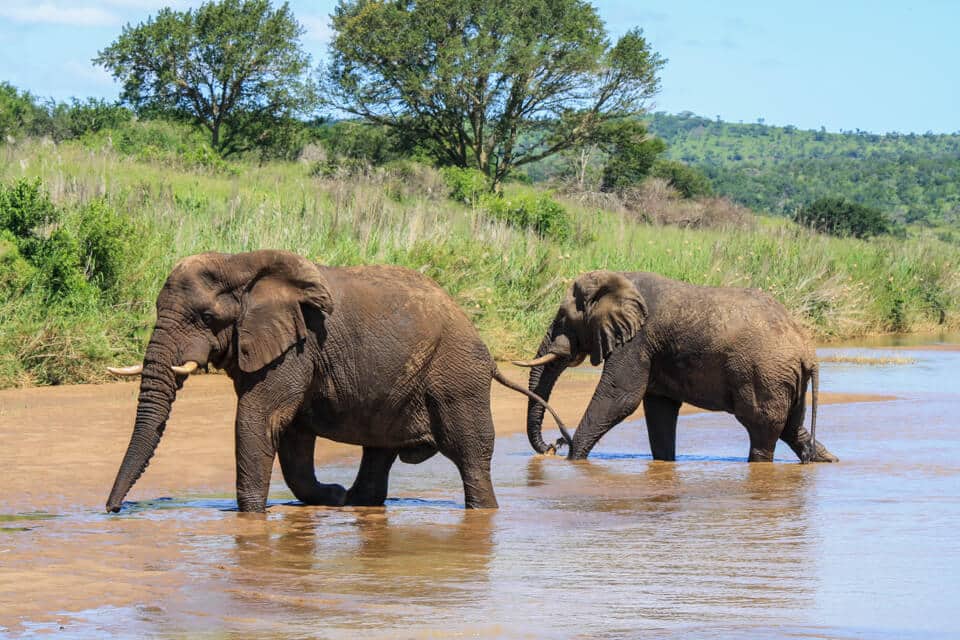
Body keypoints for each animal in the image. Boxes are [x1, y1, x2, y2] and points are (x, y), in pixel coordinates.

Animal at [105, 250, 566, 513]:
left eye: (204, 317)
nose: (112, 511)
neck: (240, 261)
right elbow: (290, 434)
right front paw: (331, 495)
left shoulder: (298, 346)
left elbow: (260, 418)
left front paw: (252, 516)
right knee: (379, 450)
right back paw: (356, 502)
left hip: (457, 377)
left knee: (470, 454)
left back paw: (482, 513)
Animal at [516, 270, 838, 464]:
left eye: (562, 318)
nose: (554, 445)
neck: (617, 280)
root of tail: (807, 350)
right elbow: (659, 408)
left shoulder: (637, 341)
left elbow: (620, 397)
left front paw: (573, 461)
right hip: (784, 378)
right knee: (791, 428)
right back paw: (826, 460)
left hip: (764, 375)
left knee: (762, 430)